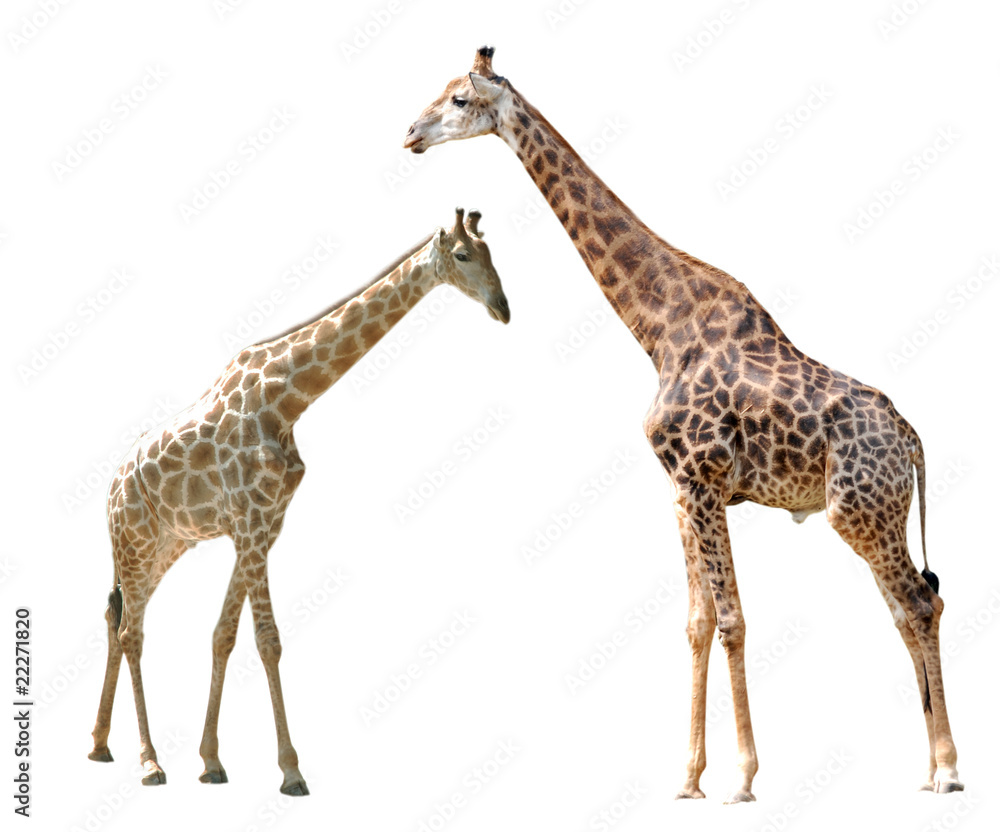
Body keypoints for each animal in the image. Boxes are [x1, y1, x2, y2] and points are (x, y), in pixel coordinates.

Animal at [87, 208, 509, 795]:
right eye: (465, 256)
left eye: (494, 254)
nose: (503, 307)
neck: (288, 399)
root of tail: (111, 487)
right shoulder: (249, 520)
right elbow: (267, 639)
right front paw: (290, 770)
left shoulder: (263, 524)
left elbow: (223, 635)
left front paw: (212, 761)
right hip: (135, 540)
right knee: (132, 631)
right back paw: (149, 763)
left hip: (166, 545)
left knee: (114, 616)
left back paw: (101, 745)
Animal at [403, 47, 962, 802]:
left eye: (460, 100)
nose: (410, 134)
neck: (657, 326)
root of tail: (912, 440)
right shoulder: (681, 490)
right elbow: (697, 623)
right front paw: (689, 777)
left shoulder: (703, 480)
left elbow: (732, 620)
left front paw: (744, 777)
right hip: (878, 513)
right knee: (906, 607)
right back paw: (927, 770)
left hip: (859, 510)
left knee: (920, 602)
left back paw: (949, 769)